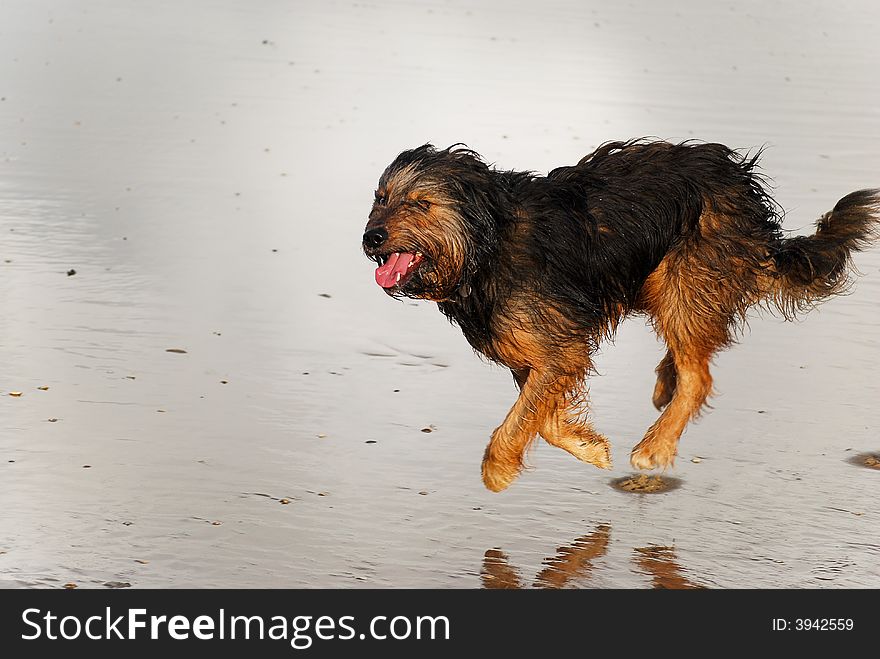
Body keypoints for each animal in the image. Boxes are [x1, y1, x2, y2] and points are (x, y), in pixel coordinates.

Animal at [360, 141, 876, 490]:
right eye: (381, 197)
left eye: (421, 204)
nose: (371, 238)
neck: (484, 244)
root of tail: (743, 192)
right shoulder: (539, 351)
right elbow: (541, 418)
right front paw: (591, 448)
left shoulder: (556, 346)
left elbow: (522, 418)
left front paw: (498, 468)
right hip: (662, 281)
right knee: (692, 353)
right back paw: (665, 382)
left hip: (684, 277)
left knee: (699, 375)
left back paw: (655, 445)